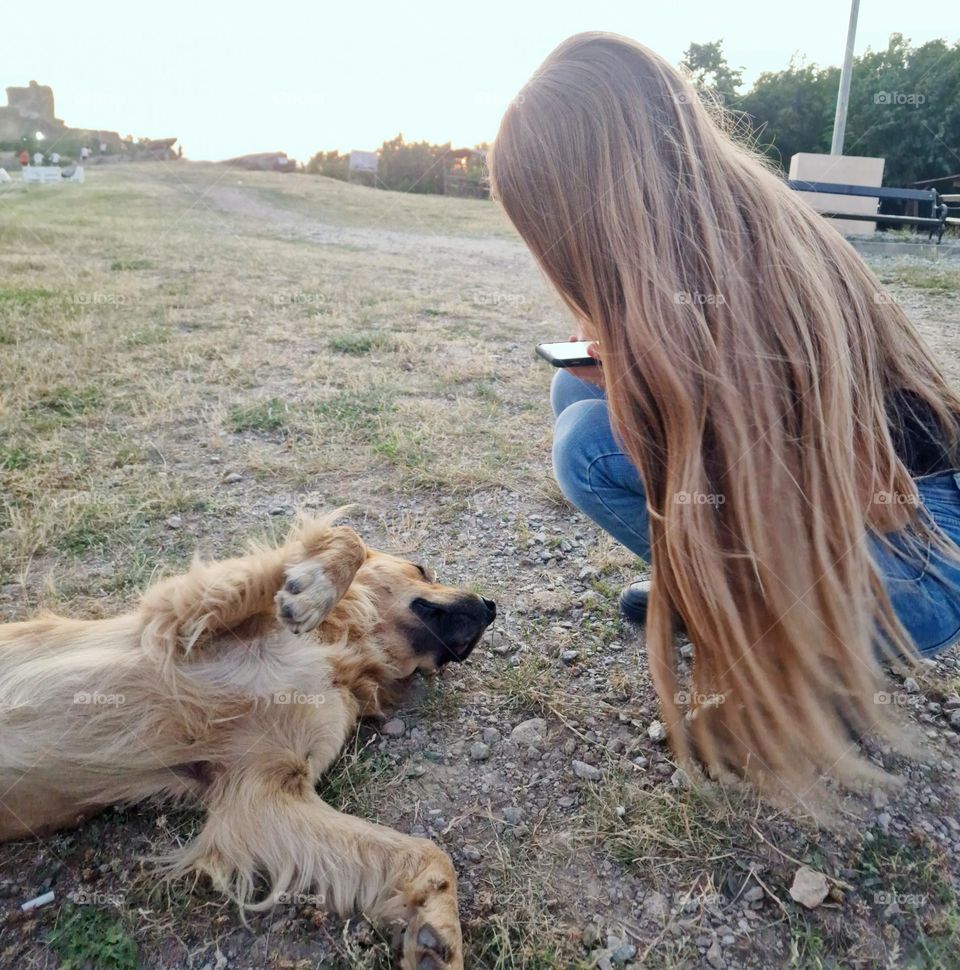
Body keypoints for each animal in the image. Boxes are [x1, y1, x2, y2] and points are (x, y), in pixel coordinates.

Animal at [0, 520, 496, 968]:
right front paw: (312, 589)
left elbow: (428, 852)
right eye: (422, 568)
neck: (345, 650)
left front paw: (435, 930)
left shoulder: (261, 792)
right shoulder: (178, 614)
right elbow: (348, 537)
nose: (492, 605)